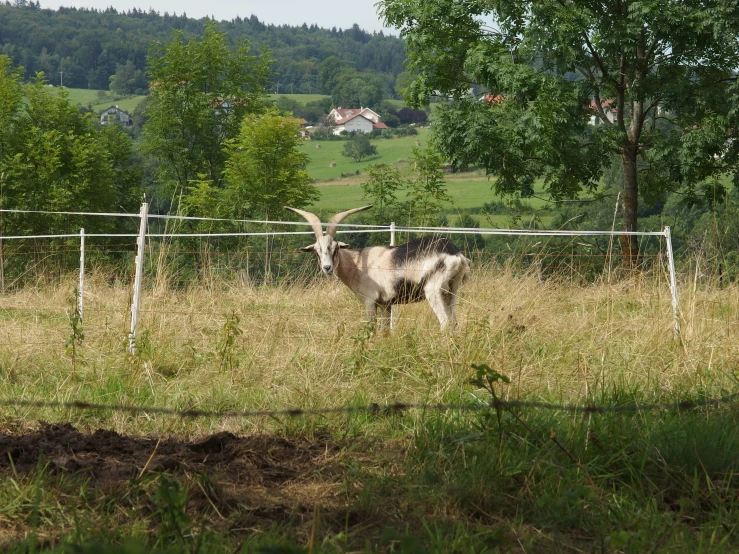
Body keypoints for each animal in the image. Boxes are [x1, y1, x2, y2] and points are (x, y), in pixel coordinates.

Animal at [286, 205, 472, 330]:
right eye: (317, 250)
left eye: (336, 248)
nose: (327, 268)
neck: (358, 263)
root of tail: (455, 253)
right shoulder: (386, 304)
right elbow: (385, 332)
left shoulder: (370, 302)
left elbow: (372, 330)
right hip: (451, 291)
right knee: (454, 322)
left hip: (433, 291)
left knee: (445, 322)